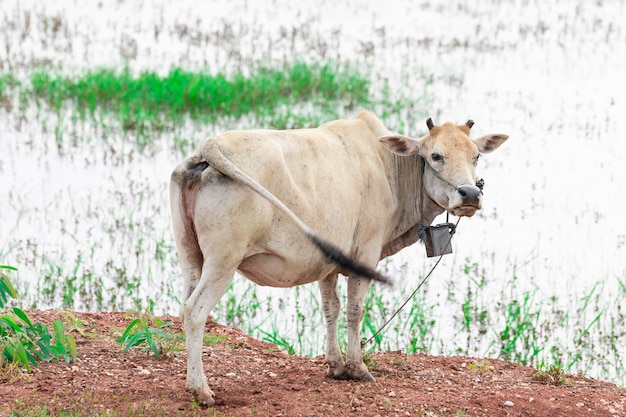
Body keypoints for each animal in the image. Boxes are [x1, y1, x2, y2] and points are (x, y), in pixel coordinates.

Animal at [171, 109, 508, 404]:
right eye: (436, 156)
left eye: (476, 156)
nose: (470, 194)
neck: (389, 168)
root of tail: (210, 147)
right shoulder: (366, 258)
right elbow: (354, 311)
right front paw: (357, 368)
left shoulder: (330, 263)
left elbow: (330, 309)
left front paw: (335, 365)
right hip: (222, 263)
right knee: (196, 312)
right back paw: (201, 390)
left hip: (191, 258)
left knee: (184, 308)